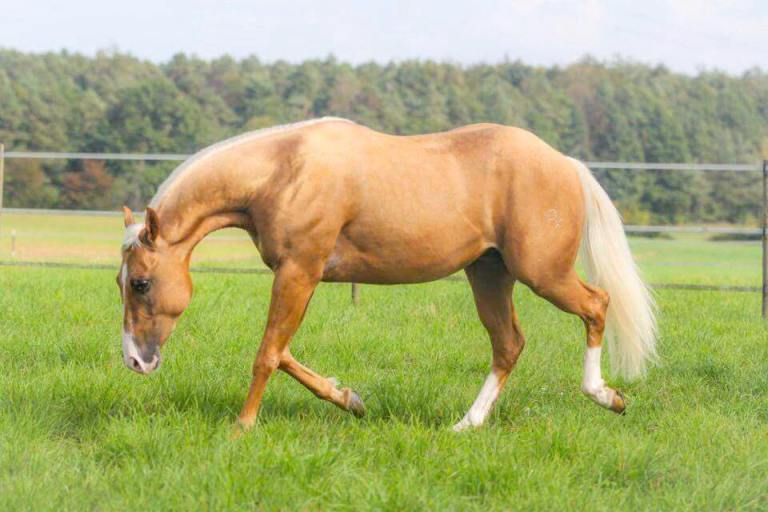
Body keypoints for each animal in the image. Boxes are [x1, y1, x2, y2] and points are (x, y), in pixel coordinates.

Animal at [117, 117, 657, 433]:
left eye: (141, 283)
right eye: (121, 284)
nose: (135, 362)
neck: (283, 171)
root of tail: (566, 163)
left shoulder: (298, 271)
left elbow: (268, 354)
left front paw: (243, 427)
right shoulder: (297, 277)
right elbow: (285, 351)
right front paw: (350, 399)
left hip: (542, 273)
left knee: (596, 305)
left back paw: (607, 396)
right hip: (489, 274)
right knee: (508, 345)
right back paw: (467, 425)